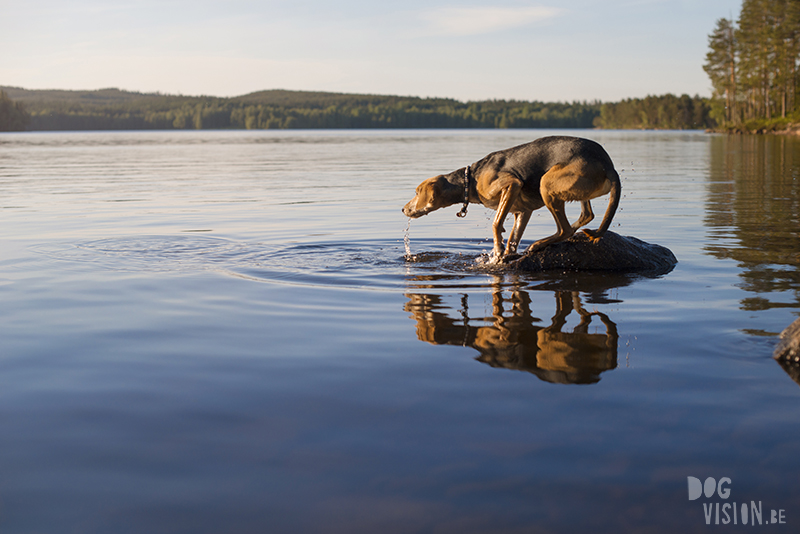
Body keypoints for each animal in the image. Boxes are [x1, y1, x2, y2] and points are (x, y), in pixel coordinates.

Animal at [404, 136, 620, 262]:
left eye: (416, 192)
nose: (403, 209)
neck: (469, 179)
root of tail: (608, 165)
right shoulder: (522, 211)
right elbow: (514, 238)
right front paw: (507, 254)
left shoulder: (511, 185)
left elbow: (496, 224)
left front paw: (498, 250)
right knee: (586, 216)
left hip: (546, 182)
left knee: (564, 229)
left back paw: (539, 244)